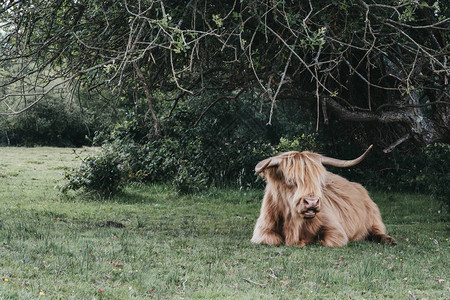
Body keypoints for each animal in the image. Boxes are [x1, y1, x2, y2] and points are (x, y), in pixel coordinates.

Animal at [251, 146, 396, 247]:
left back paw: (389, 240)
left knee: (376, 231)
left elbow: (325, 240)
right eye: (290, 180)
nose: (312, 202)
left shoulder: (336, 231)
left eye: (318, 180)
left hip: (373, 217)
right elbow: (272, 240)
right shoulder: (262, 231)